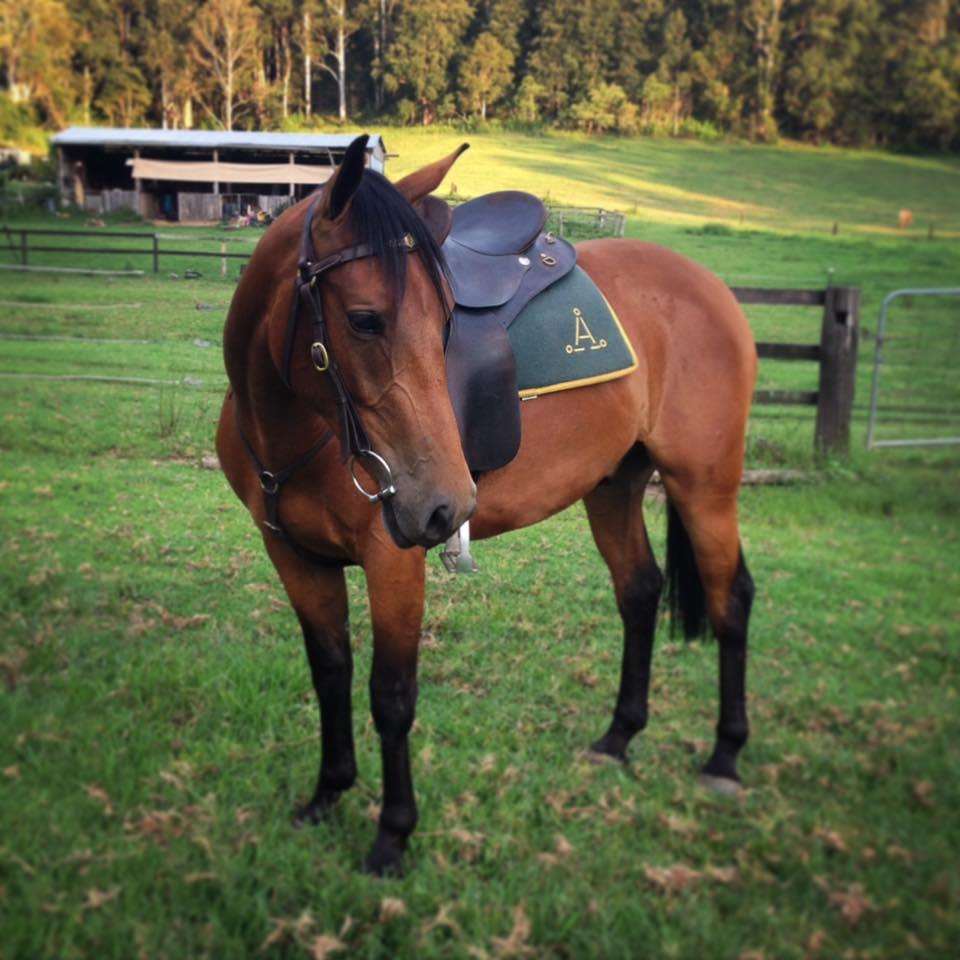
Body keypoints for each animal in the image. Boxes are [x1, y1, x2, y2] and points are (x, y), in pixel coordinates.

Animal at [216, 135, 757, 875]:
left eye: (447, 319)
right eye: (364, 320)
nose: (445, 504)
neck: (298, 428)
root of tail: (710, 288)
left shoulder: (393, 560)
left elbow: (391, 696)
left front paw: (392, 836)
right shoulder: (294, 555)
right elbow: (330, 672)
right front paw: (327, 795)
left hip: (705, 485)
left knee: (732, 599)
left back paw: (725, 758)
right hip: (614, 486)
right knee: (641, 592)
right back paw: (617, 738)